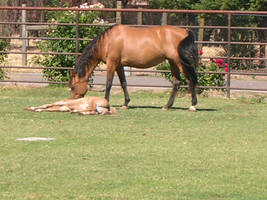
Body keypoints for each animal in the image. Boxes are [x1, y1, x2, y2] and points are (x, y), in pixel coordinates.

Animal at [69, 24, 199, 111]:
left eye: (73, 87)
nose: (72, 102)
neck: (108, 41)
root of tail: (185, 31)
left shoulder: (112, 63)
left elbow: (108, 84)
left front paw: (106, 103)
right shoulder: (119, 65)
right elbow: (123, 83)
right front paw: (125, 103)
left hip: (179, 62)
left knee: (190, 80)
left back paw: (192, 105)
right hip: (172, 62)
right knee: (176, 82)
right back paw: (167, 106)